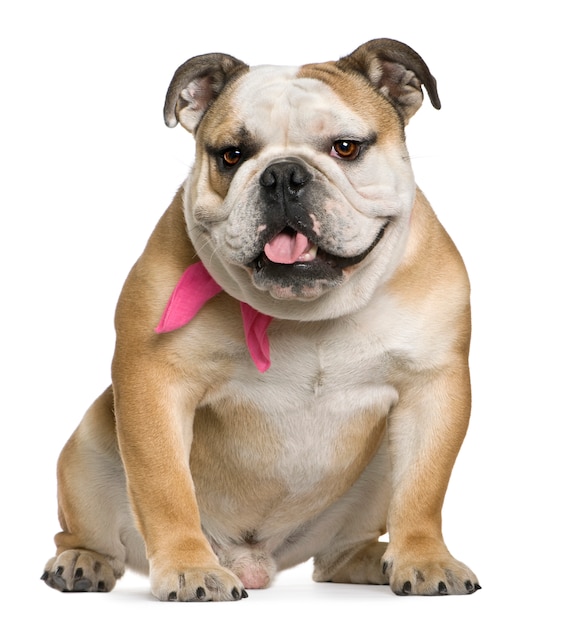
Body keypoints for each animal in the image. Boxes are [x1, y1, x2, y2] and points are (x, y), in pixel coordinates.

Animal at [41, 39, 476, 600]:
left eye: (346, 148)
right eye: (232, 155)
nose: (283, 174)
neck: (306, 312)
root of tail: (255, 560)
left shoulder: (433, 388)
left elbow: (423, 489)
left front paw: (425, 558)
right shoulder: (153, 385)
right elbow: (165, 488)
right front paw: (189, 567)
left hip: (376, 474)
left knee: (336, 555)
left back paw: (372, 559)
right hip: (87, 450)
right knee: (87, 532)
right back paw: (83, 561)